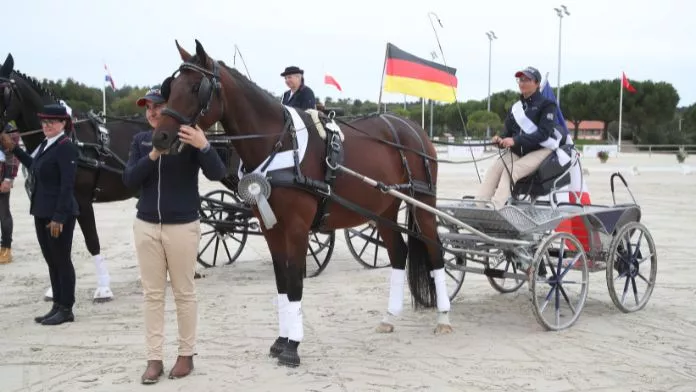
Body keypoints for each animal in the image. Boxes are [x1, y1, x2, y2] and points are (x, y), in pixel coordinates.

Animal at [155, 40, 454, 368]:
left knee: (435, 252)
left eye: (197, 87)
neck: (279, 142)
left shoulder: (297, 228)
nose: (161, 137)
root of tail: (411, 127)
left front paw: (292, 347)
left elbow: (295, 282)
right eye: (171, 87)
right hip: (383, 209)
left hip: (422, 204)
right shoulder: (271, 227)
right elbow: (282, 283)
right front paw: (280, 340)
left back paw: (443, 318)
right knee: (399, 254)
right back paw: (389, 317)